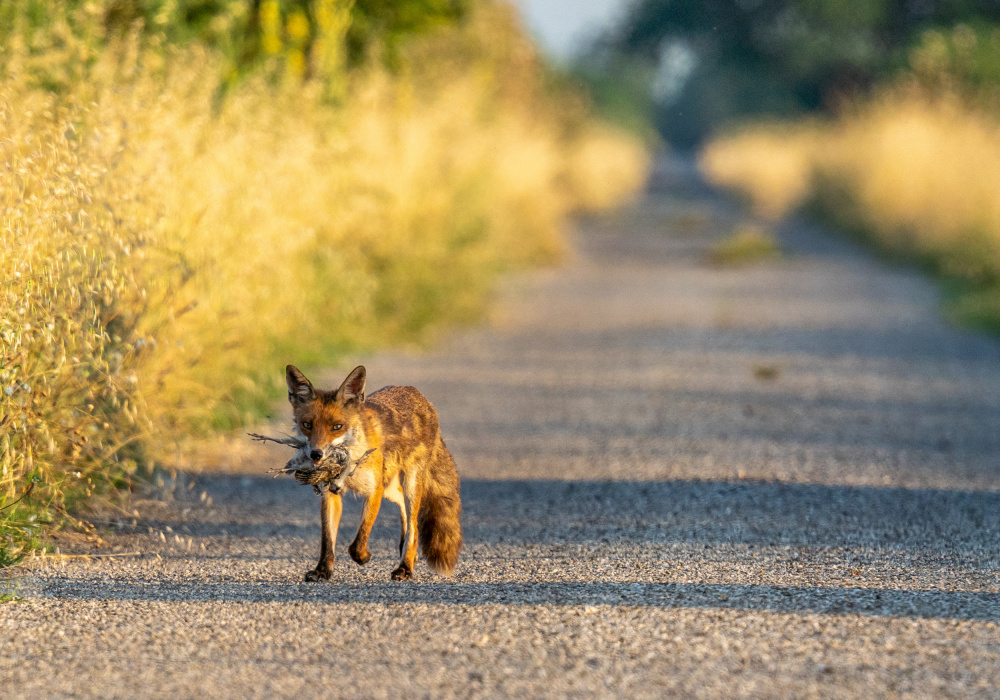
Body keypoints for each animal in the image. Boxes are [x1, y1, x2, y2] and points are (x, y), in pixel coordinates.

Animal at [286, 364, 464, 584]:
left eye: (337, 427)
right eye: (307, 425)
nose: (316, 454)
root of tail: (420, 396)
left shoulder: (374, 490)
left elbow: (358, 540)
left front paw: (363, 557)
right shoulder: (331, 494)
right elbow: (327, 541)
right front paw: (322, 571)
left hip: (410, 484)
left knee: (414, 526)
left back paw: (405, 566)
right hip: (390, 486)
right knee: (405, 512)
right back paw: (406, 552)